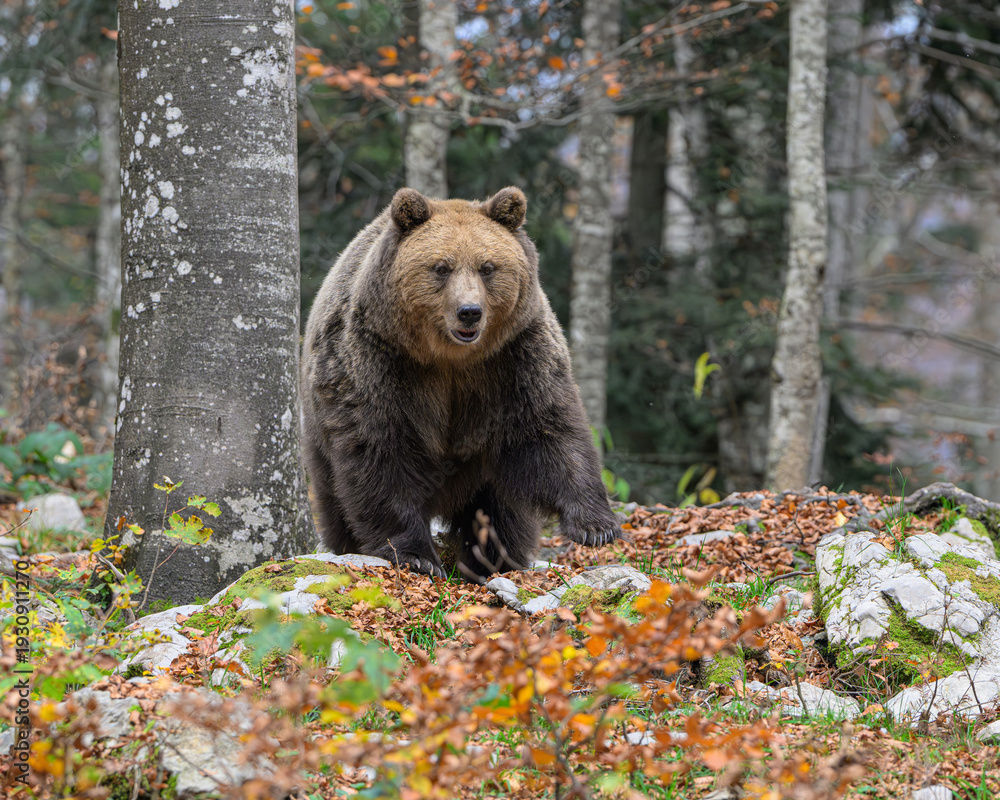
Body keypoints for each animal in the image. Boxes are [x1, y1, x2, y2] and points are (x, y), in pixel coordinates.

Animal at [300, 186, 622, 580]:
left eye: (487, 267)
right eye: (442, 267)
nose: (469, 311)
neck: (450, 358)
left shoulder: (514, 358)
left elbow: (549, 429)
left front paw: (595, 526)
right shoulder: (378, 359)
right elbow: (381, 448)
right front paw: (416, 554)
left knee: (500, 509)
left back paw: (492, 559)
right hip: (319, 435)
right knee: (334, 498)